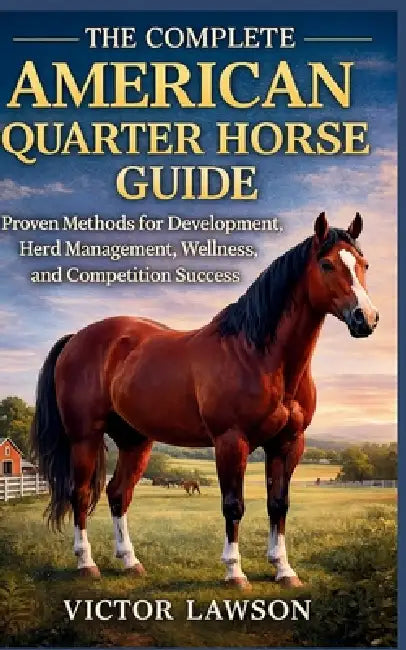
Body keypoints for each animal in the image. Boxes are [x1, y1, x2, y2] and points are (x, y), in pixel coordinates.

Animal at [31, 212, 378, 589]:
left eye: (364, 265)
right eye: (326, 264)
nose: (366, 318)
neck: (258, 355)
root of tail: (77, 338)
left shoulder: (287, 443)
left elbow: (278, 504)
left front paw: (283, 569)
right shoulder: (231, 441)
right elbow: (233, 505)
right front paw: (234, 572)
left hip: (135, 441)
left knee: (118, 494)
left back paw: (130, 562)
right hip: (85, 437)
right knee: (79, 493)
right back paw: (86, 563)